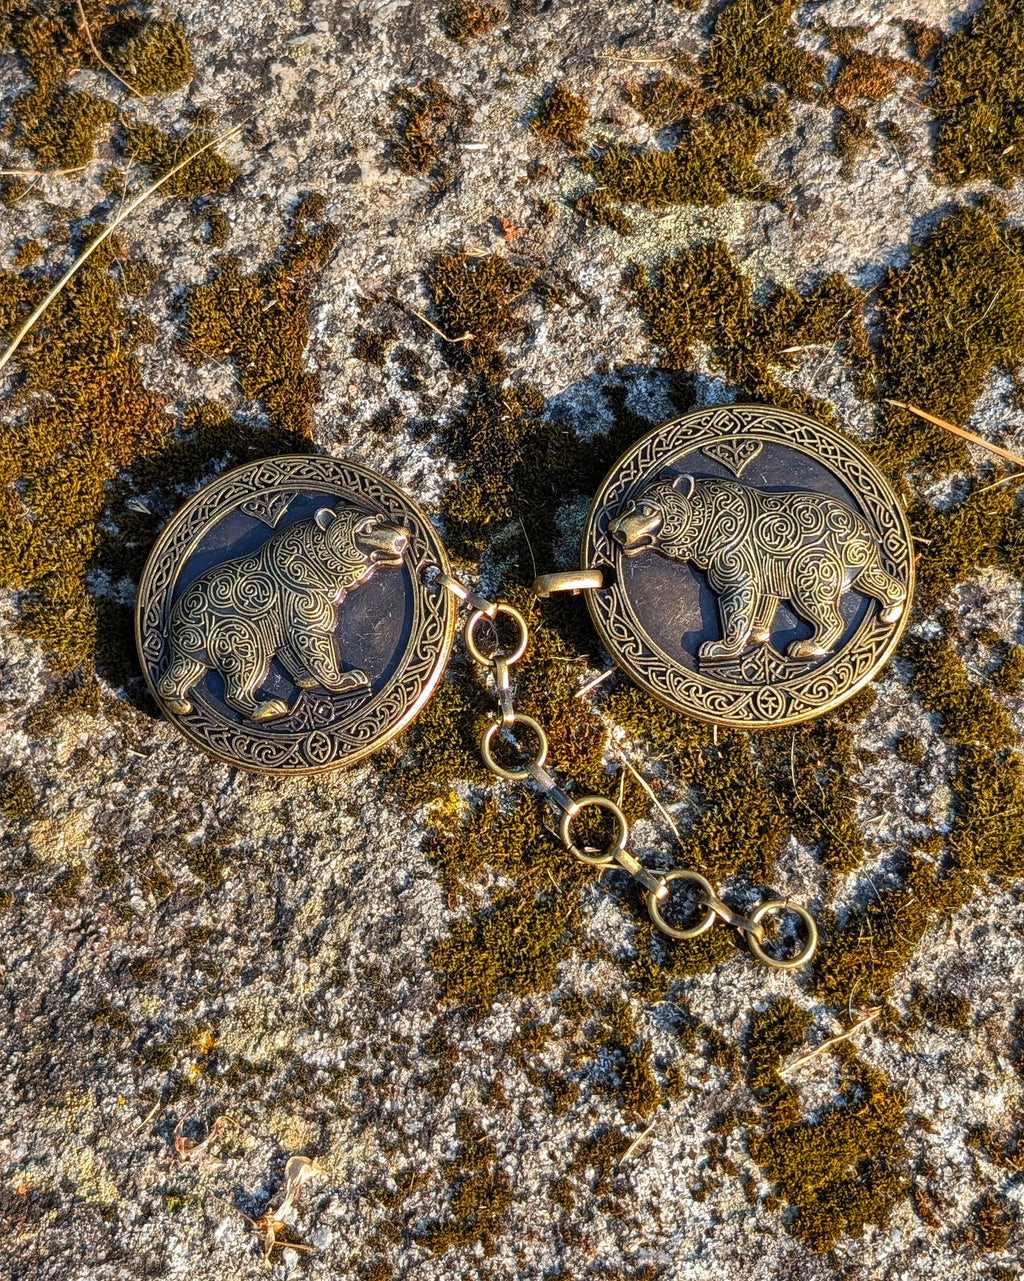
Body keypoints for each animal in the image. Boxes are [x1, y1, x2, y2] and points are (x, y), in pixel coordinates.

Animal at [157, 506, 410, 721]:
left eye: (380, 518)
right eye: (366, 528)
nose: (404, 536)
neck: (320, 565)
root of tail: (175, 615)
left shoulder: (284, 617)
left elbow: (291, 650)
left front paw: (306, 679)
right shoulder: (301, 604)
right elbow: (316, 644)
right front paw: (344, 680)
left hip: (193, 644)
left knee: (182, 670)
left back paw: (177, 701)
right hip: (233, 632)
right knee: (241, 673)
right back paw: (264, 707)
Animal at [608, 474, 906, 662]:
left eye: (646, 510)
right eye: (630, 505)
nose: (614, 529)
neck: (705, 528)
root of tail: (866, 530)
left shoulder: (737, 560)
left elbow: (735, 604)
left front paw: (721, 647)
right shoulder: (766, 568)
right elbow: (763, 604)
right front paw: (757, 634)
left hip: (813, 564)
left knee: (826, 610)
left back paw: (808, 646)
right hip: (857, 563)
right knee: (880, 582)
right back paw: (892, 610)